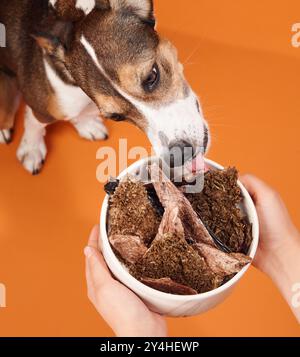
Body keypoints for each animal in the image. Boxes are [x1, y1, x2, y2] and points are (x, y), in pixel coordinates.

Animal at [0, 0, 210, 175]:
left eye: (151, 76)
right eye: (116, 117)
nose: (178, 156)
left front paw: (85, 123)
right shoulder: (42, 104)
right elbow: (35, 122)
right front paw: (31, 148)